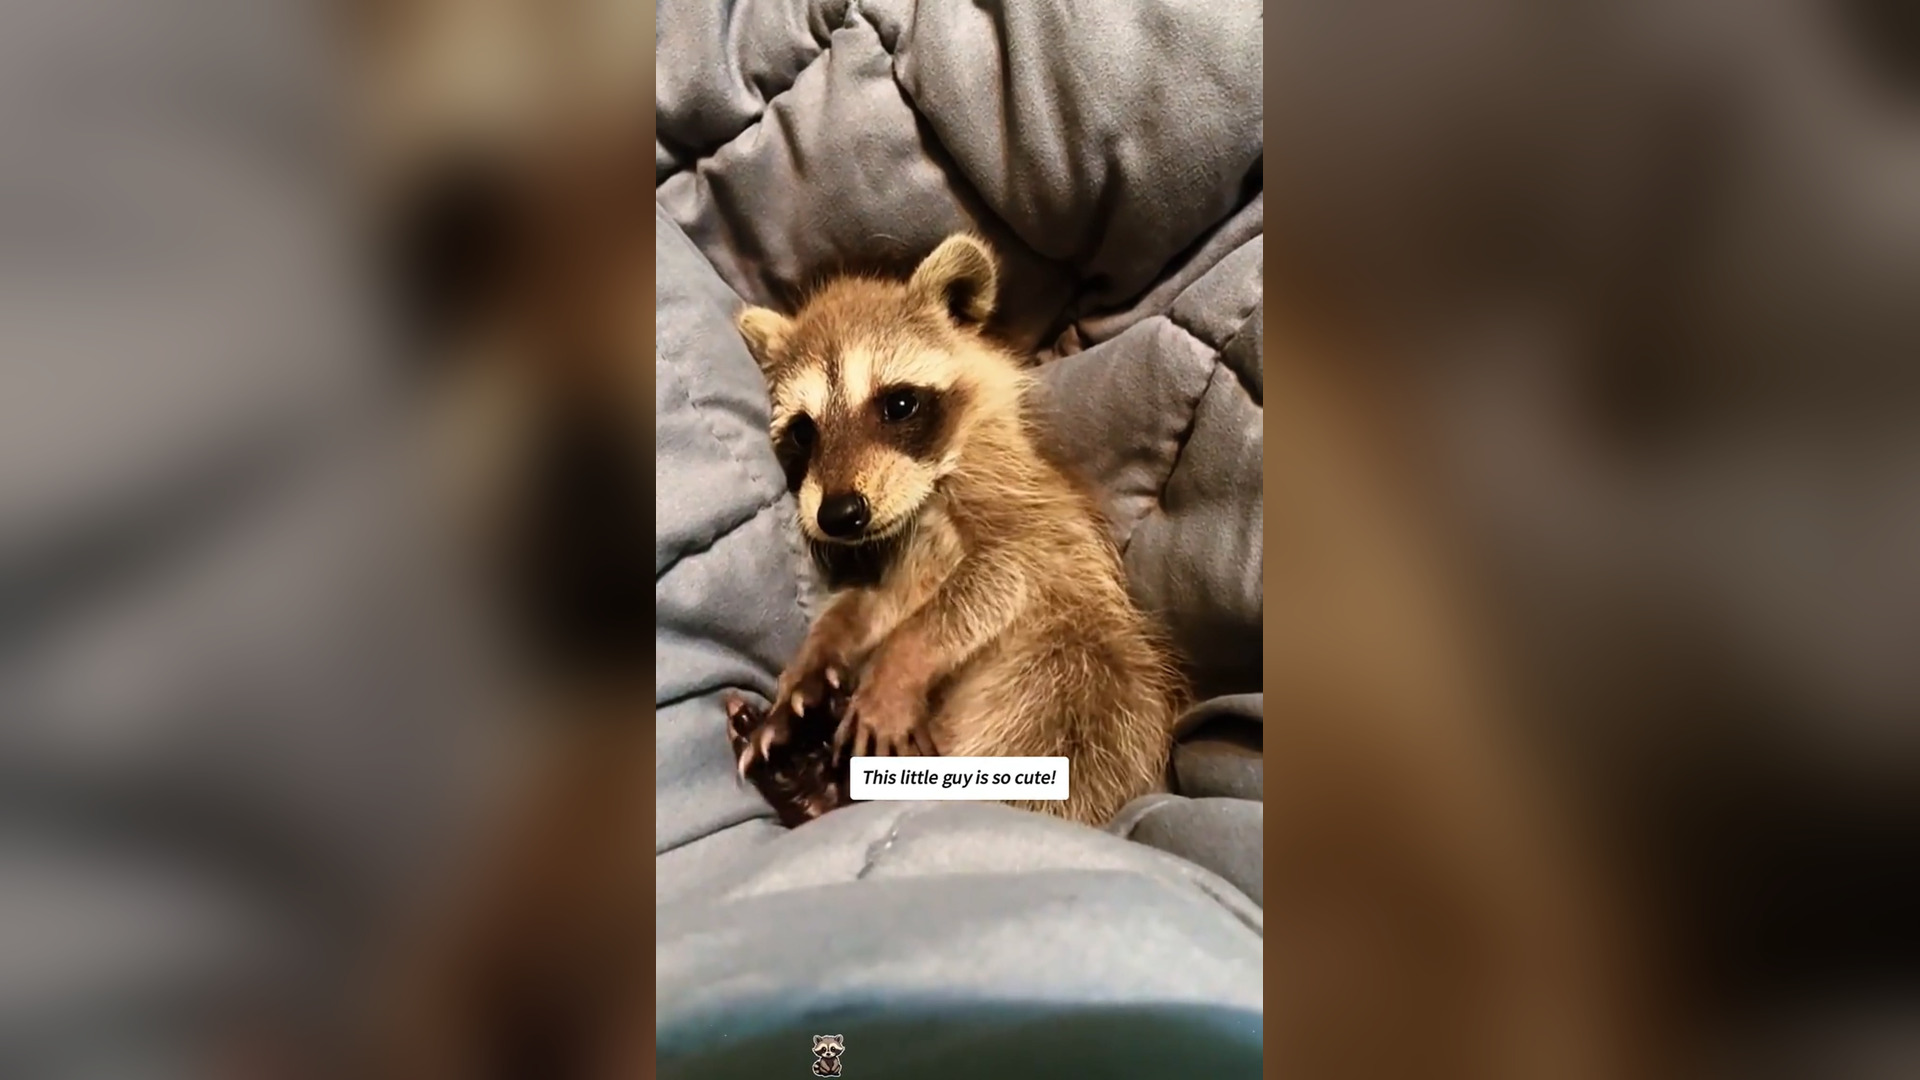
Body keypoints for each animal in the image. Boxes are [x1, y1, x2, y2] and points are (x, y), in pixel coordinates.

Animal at [727, 233, 1186, 827]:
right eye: (805, 432)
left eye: (898, 404)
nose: (840, 515)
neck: (922, 499)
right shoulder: (891, 554)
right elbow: (867, 603)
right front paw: (815, 655)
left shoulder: (1024, 503)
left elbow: (1001, 573)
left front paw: (903, 659)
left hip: (1085, 687)